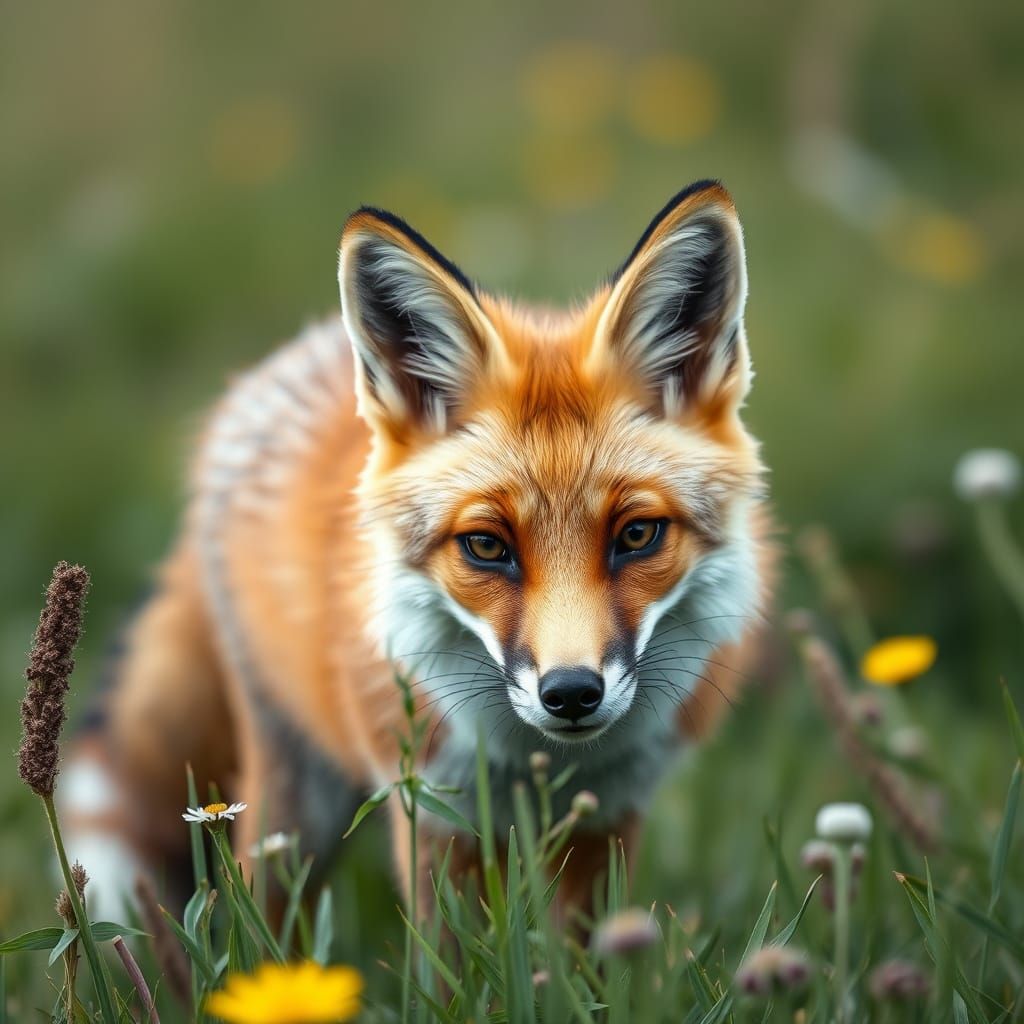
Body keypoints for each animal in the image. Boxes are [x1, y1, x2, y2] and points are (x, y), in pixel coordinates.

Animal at [62, 179, 772, 924]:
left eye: (636, 535)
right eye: (486, 545)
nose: (571, 693)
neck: (537, 762)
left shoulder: (608, 810)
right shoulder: (431, 808)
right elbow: (451, 952)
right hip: (294, 801)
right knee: (264, 917)